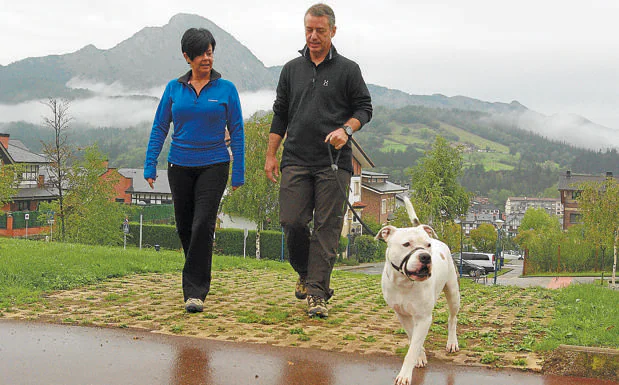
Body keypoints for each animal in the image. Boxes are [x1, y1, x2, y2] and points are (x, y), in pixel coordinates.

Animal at [378, 198, 460, 384]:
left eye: (427, 245)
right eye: (406, 244)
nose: (425, 256)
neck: (404, 283)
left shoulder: (423, 318)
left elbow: (412, 348)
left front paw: (404, 375)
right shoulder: (402, 314)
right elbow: (412, 338)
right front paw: (420, 356)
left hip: (453, 292)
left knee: (452, 318)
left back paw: (452, 342)